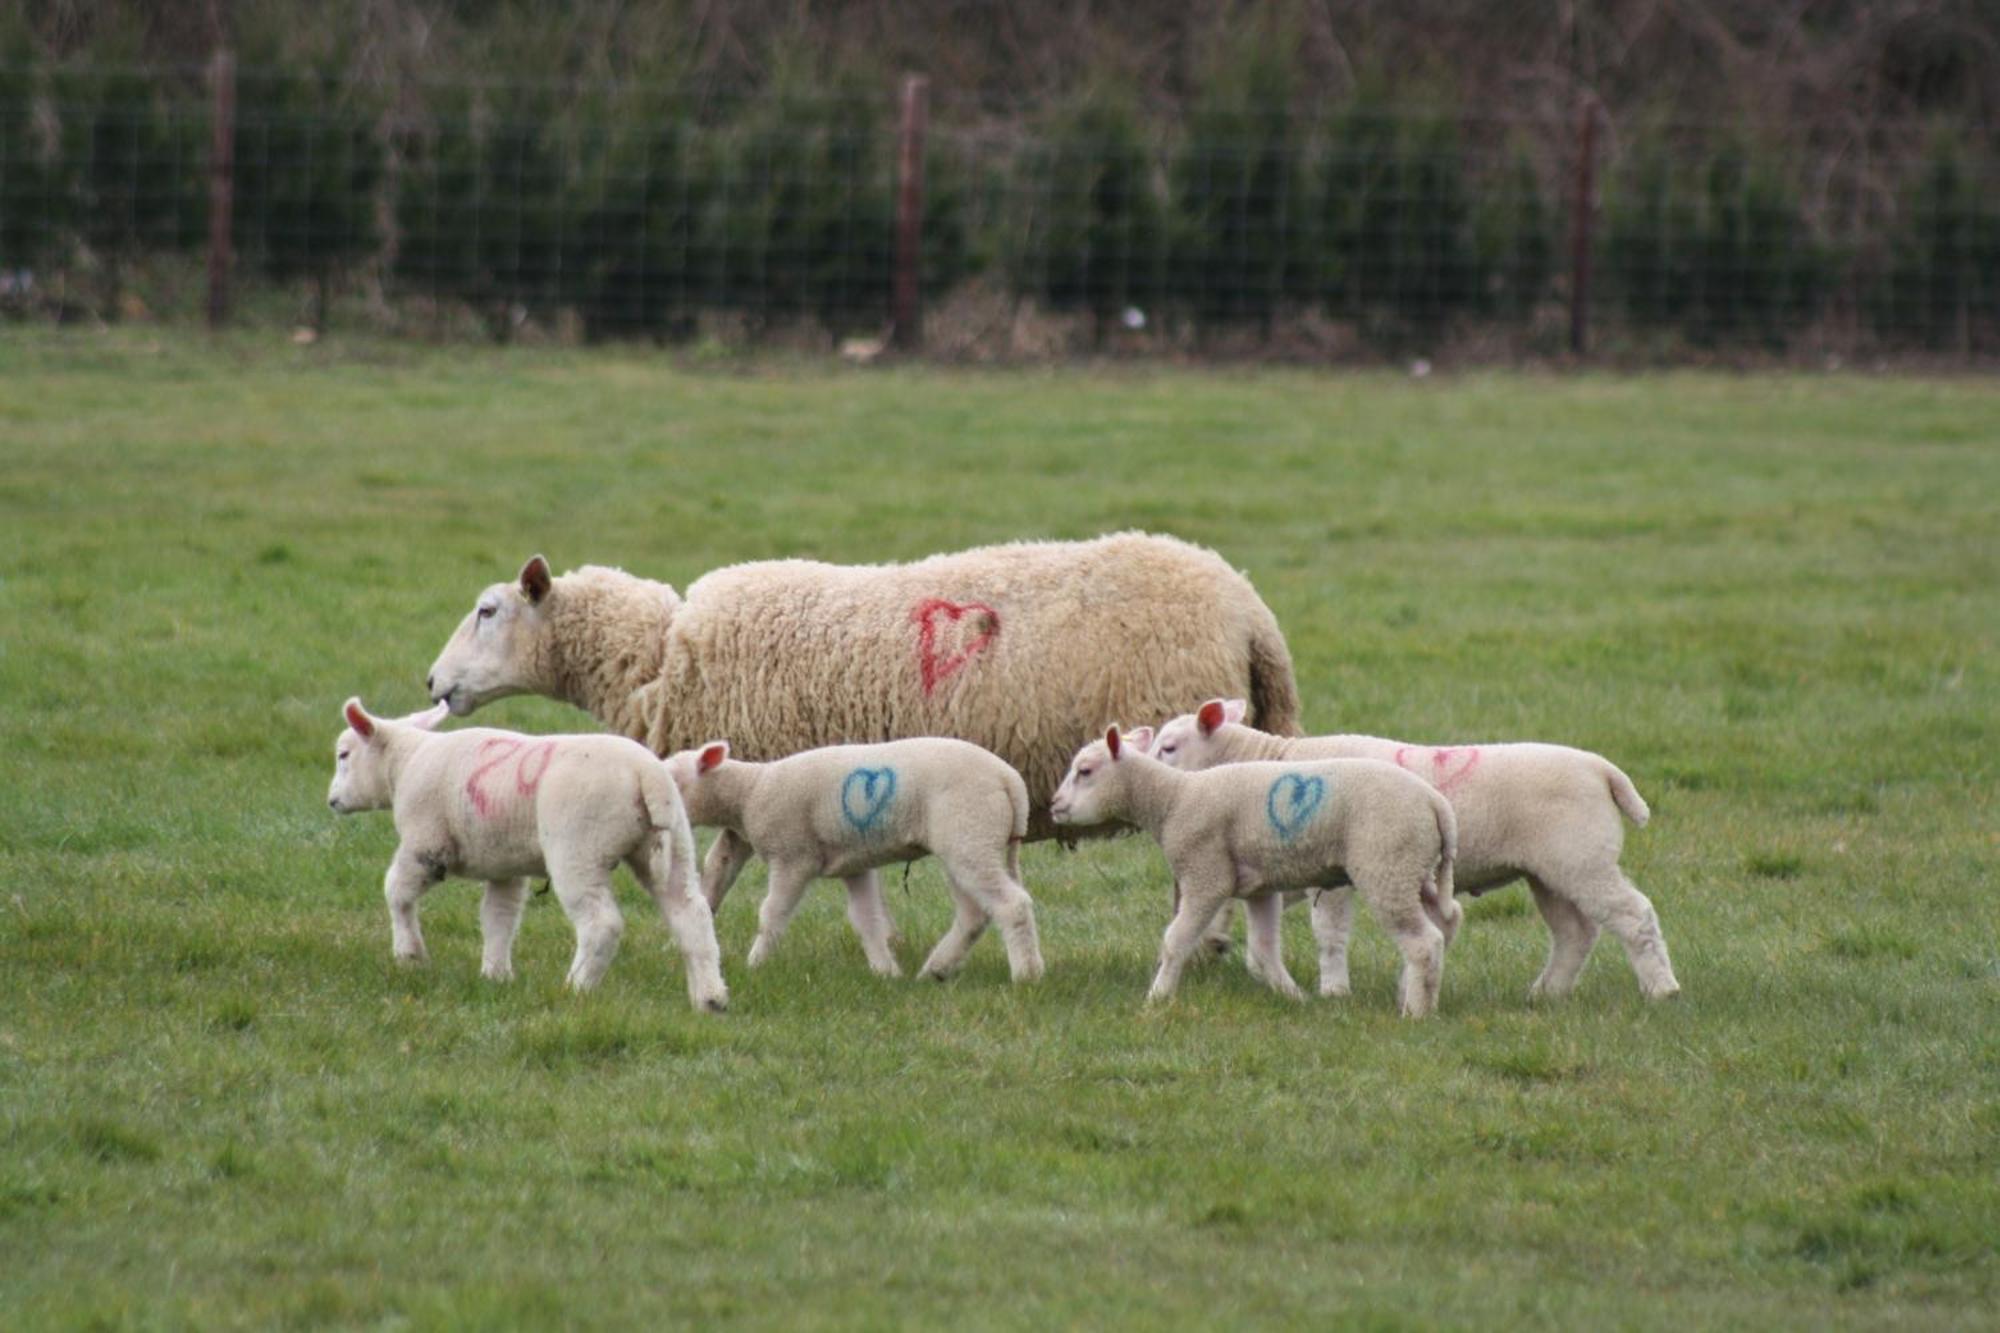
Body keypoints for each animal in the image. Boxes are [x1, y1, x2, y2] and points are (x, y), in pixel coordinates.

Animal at [324, 696, 732, 1008]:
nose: (331, 801)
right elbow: (498, 917)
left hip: (577, 848)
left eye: (344, 755)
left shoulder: (426, 842)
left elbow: (396, 892)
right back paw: (709, 998)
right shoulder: (504, 865)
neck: (406, 761)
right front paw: (496, 975)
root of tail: (647, 776)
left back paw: (576, 988)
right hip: (673, 843)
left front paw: (410, 956)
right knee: (691, 915)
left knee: (602, 924)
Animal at [668, 732, 1048, 980]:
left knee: (1011, 904)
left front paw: (756, 963)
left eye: (673, 780)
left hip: (969, 835)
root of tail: (1010, 781)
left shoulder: (794, 856)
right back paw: (935, 970)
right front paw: (885, 971)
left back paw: (1026, 974)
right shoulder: (855, 866)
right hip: (970, 842)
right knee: (974, 914)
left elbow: (772, 914)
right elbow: (867, 919)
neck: (749, 791)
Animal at [1048, 720, 1456, 1012]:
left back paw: (1416, 1012)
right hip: (1415, 871)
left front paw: (1157, 997)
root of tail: (1436, 804)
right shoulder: (1260, 888)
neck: (1172, 799)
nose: (1054, 805)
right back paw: (1422, 997)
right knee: (1444, 924)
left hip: (1386, 865)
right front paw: (1294, 996)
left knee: (1424, 942)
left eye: (1085, 771)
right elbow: (1263, 949)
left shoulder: (1206, 873)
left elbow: (1175, 940)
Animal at [1152, 700, 1680, 1000]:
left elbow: (1329, 933)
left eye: (1169, 747)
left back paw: (1662, 989)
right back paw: (1546, 994)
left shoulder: (1337, 872)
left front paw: (1334, 991)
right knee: (1575, 932)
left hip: (1582, 858)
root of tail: (1603, 770)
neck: (1269, 761)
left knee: (1633, 915)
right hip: (1548, 871)